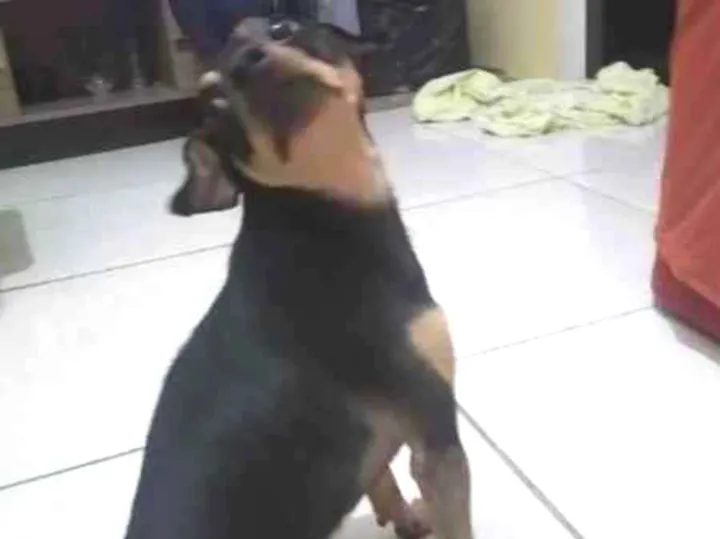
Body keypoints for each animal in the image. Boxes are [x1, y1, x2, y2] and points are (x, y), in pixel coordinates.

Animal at [124, 17, 472, 539]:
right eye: (214, 102)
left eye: (281, 27)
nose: (247, 62)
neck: (320, 212)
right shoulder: (435, 436)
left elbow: (381, 477)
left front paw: (406, 518)